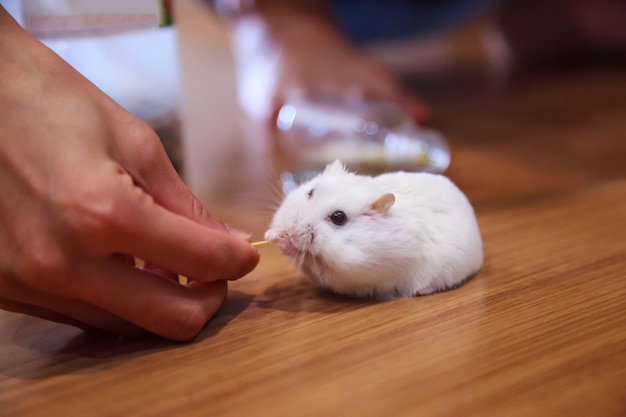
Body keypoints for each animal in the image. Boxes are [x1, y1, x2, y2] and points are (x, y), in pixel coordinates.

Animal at [264, 159, 482, 300]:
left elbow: (316, 263)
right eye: (310, 192)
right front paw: (274, 235)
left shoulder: (353, 269)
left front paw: (287, 242)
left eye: (338, 218)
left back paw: (422, 291)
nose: (292, 229)